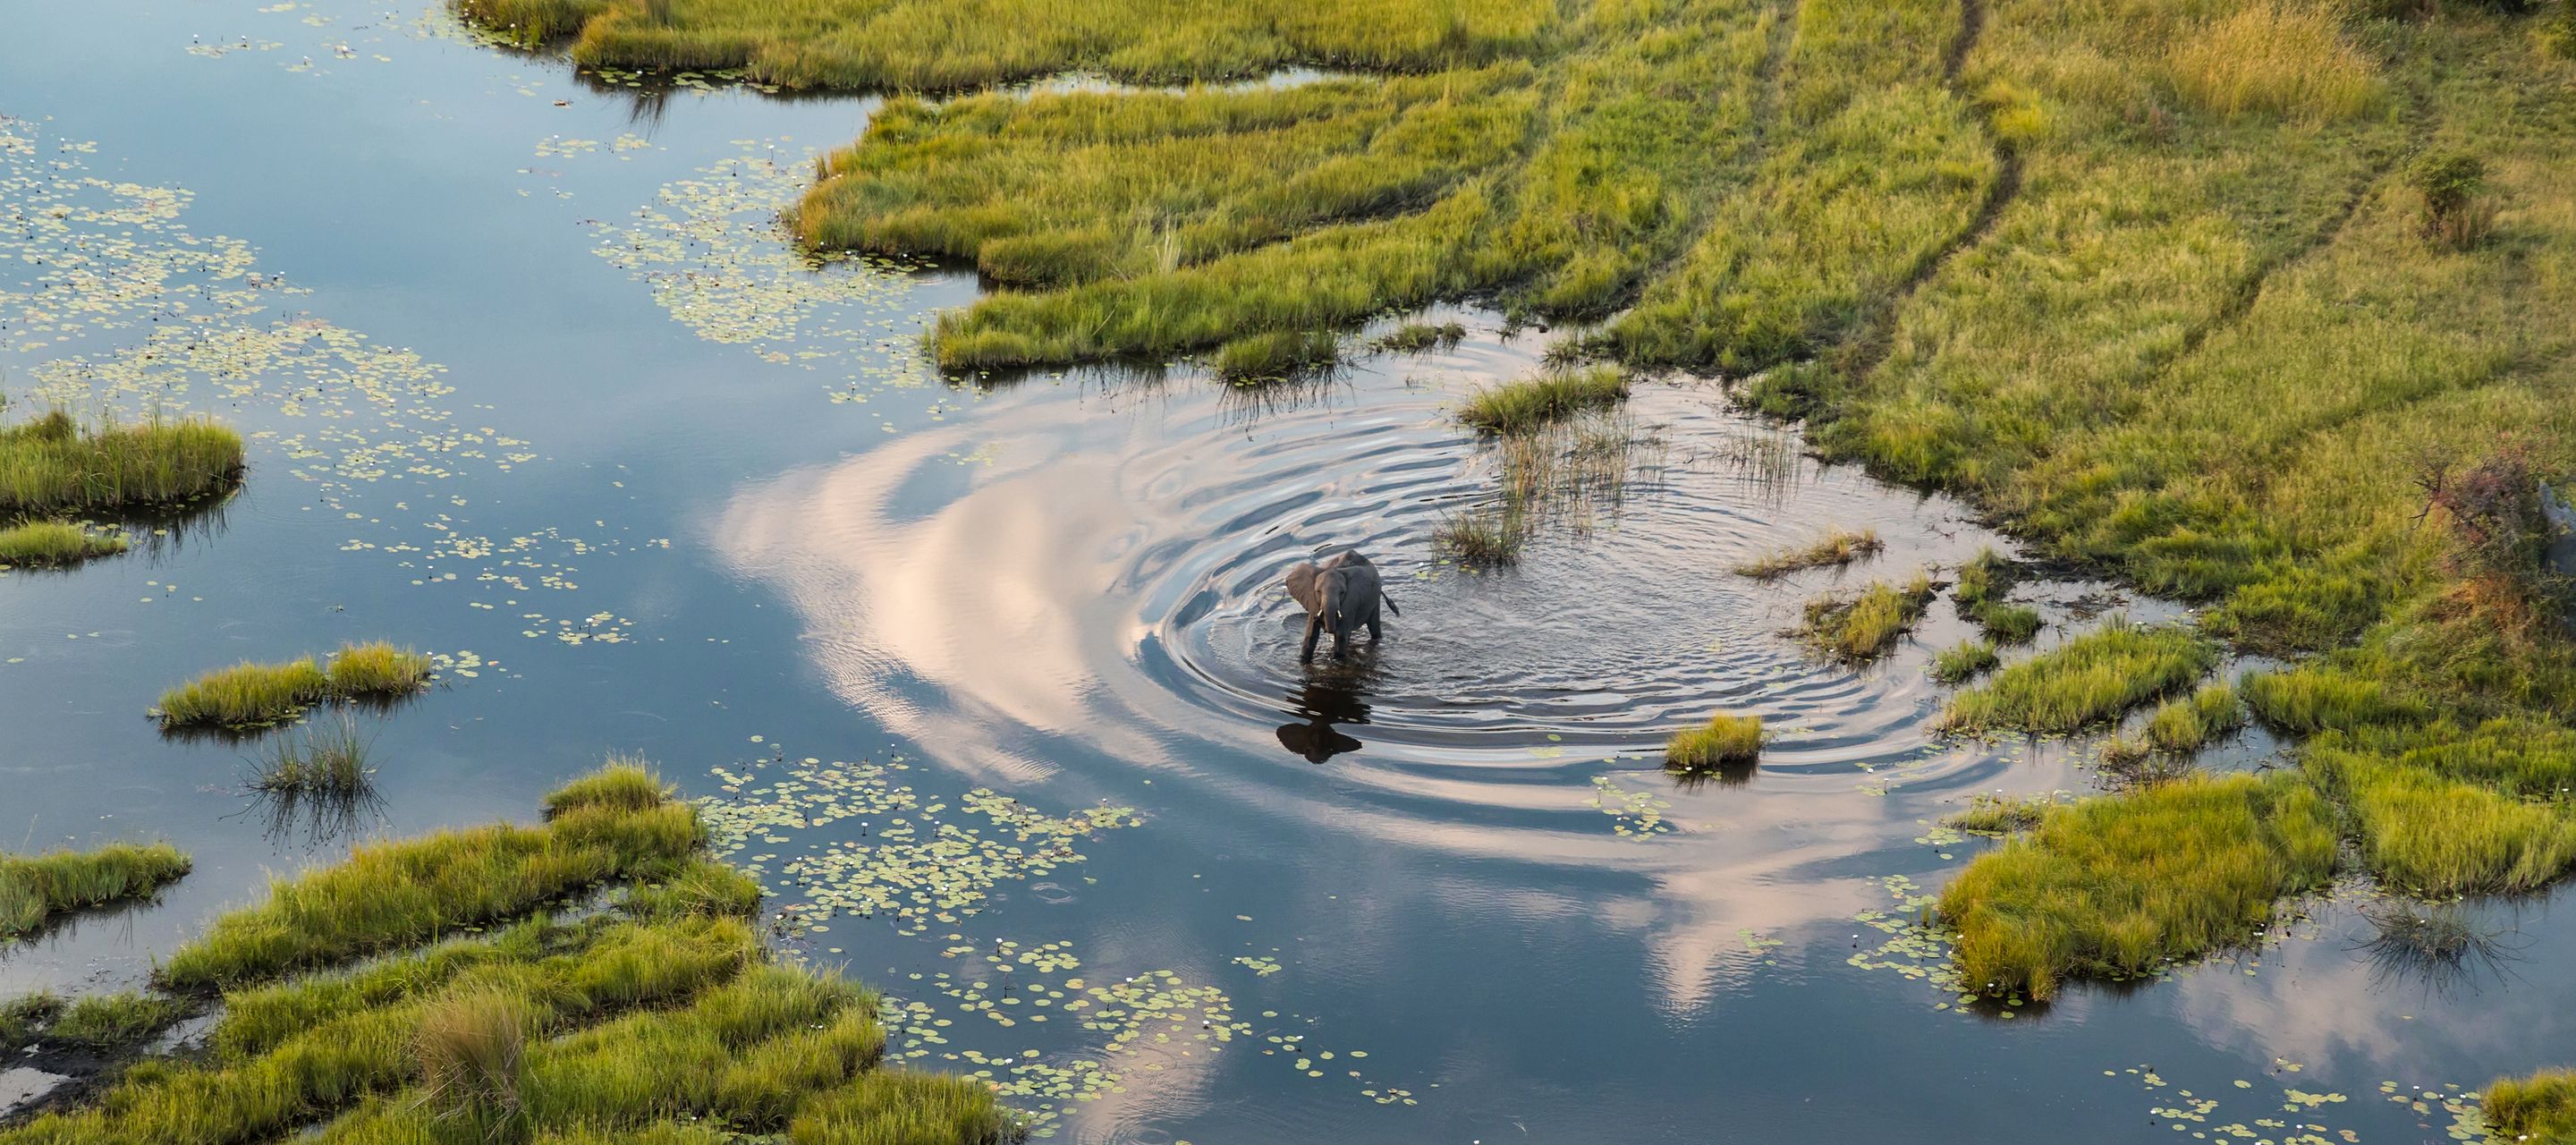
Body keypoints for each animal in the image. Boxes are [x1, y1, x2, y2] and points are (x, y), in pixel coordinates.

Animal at [1284, 549, 1400, 663]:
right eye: (1318, 591)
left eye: (1342, 592)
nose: (1326, 629)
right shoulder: (1312, 601)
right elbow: (1310, 636)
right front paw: (1304, 659)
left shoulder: (1350, 602)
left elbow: (1340, 636)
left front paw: (1337, 660)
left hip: (1375, 599)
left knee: (1373, 627)